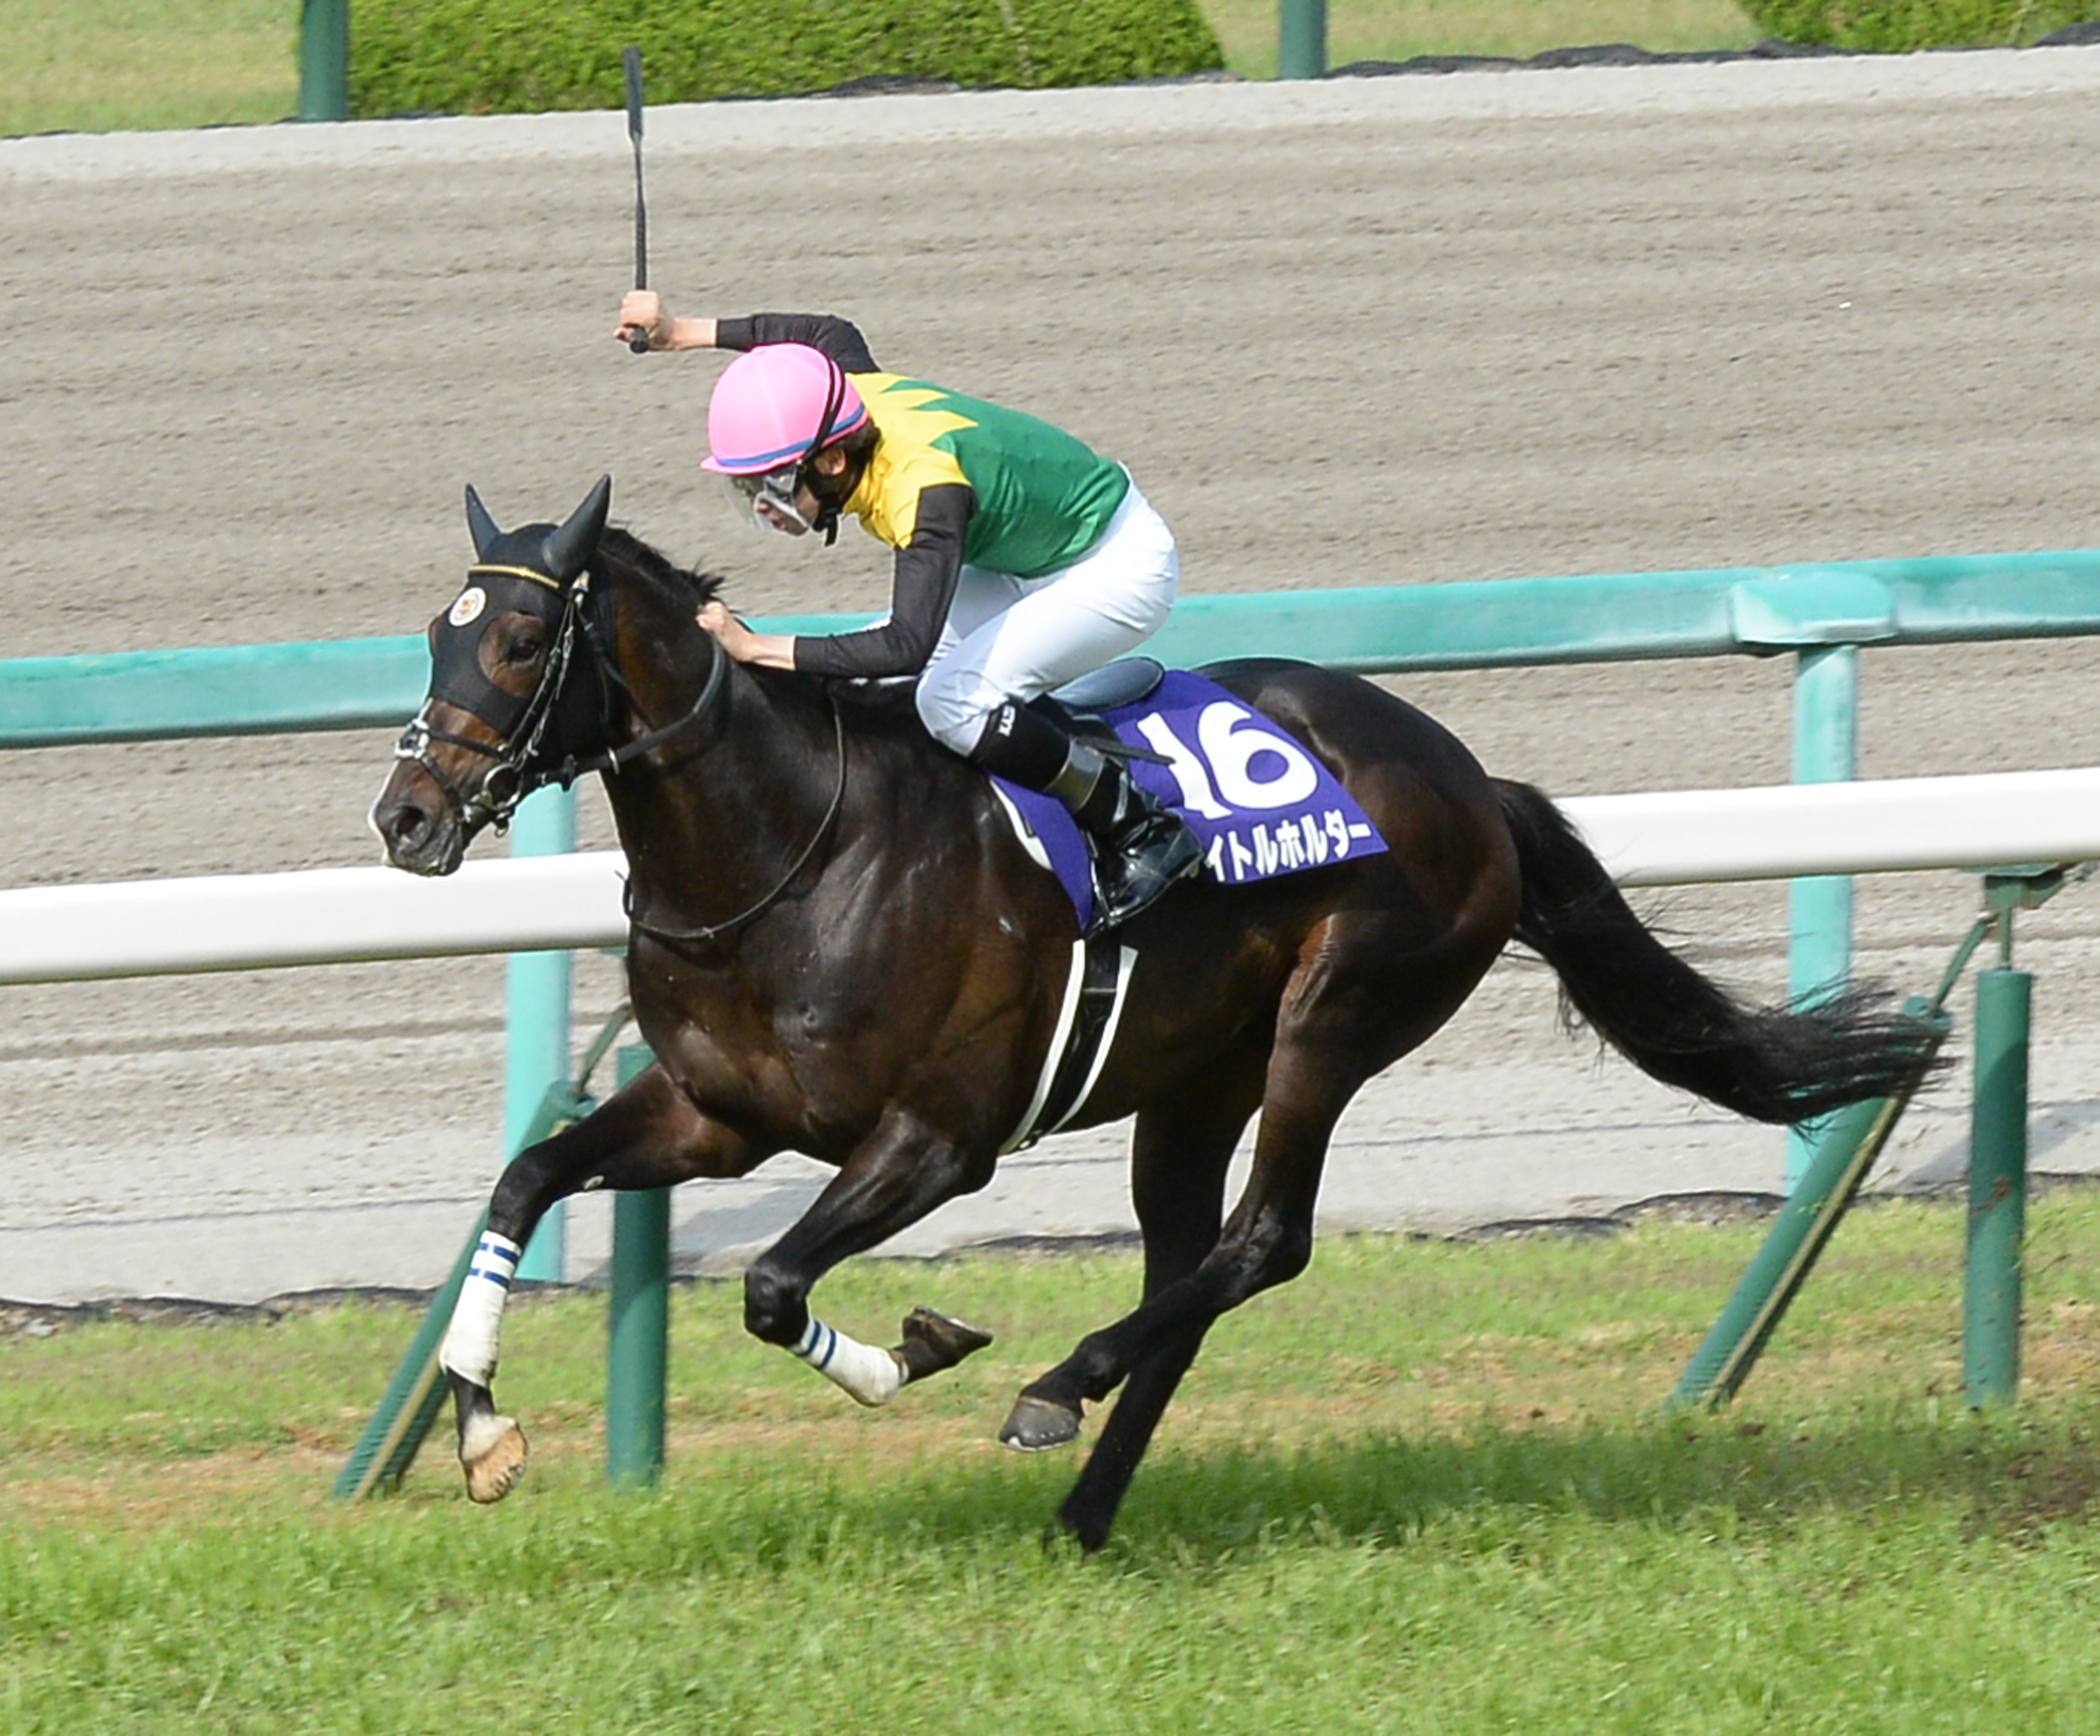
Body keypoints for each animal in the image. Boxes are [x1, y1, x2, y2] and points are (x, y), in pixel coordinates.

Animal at [365, 474, 1932, 1545]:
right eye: (432, 633)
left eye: (521, 640)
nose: (406, 814)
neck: (790, 848)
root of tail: (1474, 781)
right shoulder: (713, 1113)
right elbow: (527, 1179)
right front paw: (484, 1429)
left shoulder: (939, 1139)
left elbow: (770, 1287)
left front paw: (916, 1352)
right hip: (1193, 1077)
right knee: (1192, 1264)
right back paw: (1084, 1508)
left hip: (1337, 1012)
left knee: (1261, 1241)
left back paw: (1063, 1384)